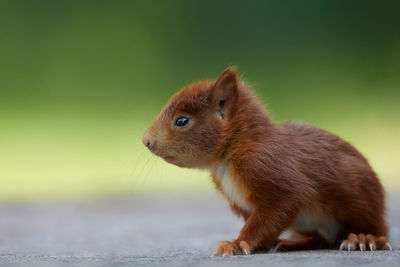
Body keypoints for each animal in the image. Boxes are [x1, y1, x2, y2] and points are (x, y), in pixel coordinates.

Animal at [142, 67, 392, 258]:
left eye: (182, 121)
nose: (146, 141)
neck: (226, 158)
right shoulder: (243, 205)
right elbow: (264, 226)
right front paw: (252, 245)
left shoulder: (269, 169)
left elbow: (271, 215)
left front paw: (236, 244)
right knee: (322, 239)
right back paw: (294, 243)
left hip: (359, 197)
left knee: (376, 230)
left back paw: (363, 238)